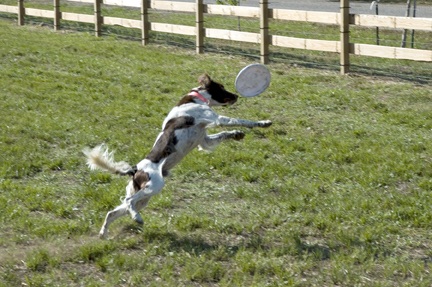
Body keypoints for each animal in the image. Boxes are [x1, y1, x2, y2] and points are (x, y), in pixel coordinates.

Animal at [83, 74, 272, 238]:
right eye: (222, 88)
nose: (236, 96)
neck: (196, 98)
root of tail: (135, 170)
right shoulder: (215, 118)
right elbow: (241, 120)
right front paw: (263, 123)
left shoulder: (205, 141)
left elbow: (225, 133)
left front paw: (237, 134)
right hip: (154, 186)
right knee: (129, 201)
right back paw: (137, 218)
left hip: (144, 197)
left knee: (113, 212)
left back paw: (104, 234)